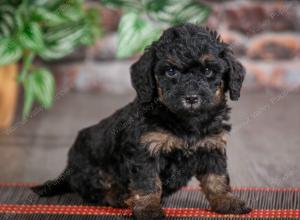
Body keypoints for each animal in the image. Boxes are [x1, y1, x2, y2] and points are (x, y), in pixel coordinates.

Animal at [32, 23, 252, 219]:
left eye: (207, 71)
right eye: (171, 71)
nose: (191, 97)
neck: (186, 121)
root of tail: (69, 169)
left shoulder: (212, 146)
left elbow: (217, 178)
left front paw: (227, 201)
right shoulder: (145, 150)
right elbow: (148, 182)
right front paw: (148, 209)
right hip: (92, 166)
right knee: (96, 190)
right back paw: (119, 196)